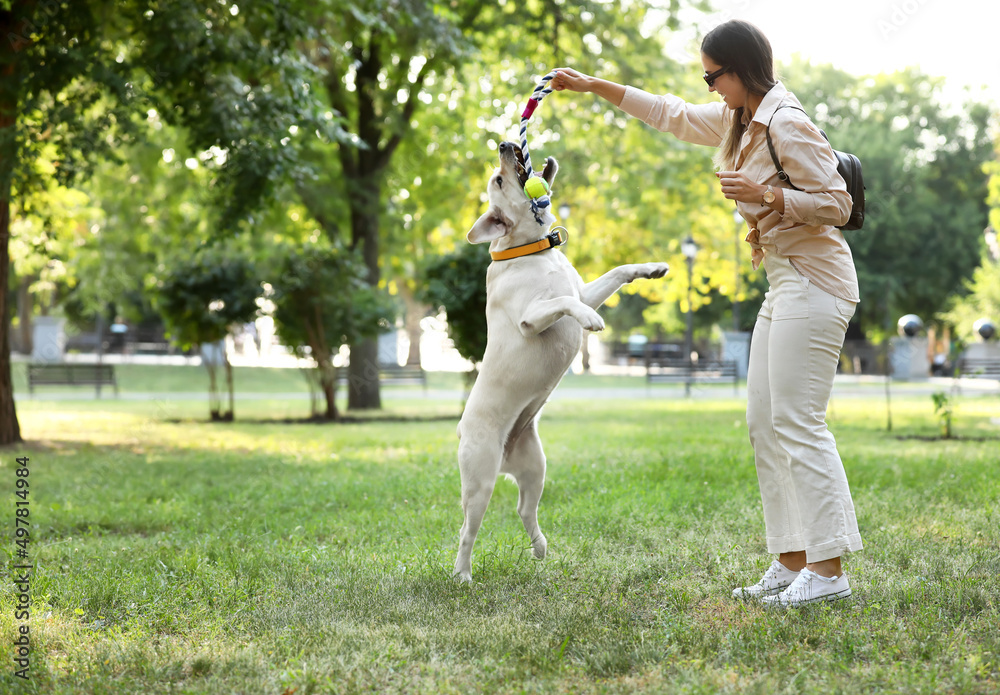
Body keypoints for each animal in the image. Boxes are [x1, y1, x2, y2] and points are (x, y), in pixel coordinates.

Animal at [456, 143, 672, 580]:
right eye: (499, 180)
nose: (504, 145)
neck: (530, 249)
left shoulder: (585, 289)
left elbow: (615, 272)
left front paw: (651, 268)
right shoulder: (530, 318)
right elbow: (563, 302)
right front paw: (589, 320)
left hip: (535, 467)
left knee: (524, 509)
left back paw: (540, 548)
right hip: (480, 481)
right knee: (467, 531)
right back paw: (463, 574)